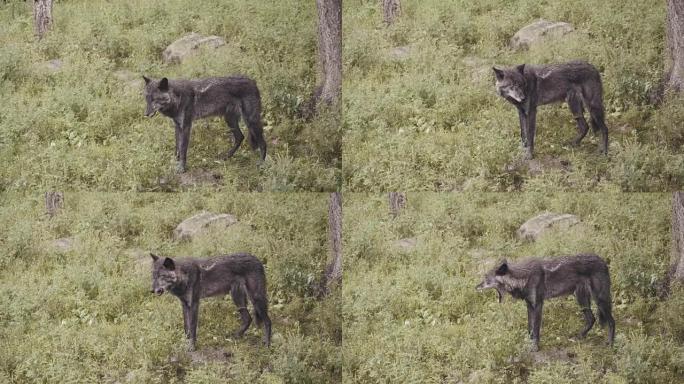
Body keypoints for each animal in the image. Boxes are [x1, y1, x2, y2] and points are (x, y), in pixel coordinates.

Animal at [476, 254, 616, 352]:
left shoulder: (538, 304)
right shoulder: (529, 305)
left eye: (486, 279)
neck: (523, 278)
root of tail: (603, 261)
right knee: (591, 319)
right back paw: (579, 337)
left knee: (611, 321)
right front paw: (529, 343)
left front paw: (535, 347)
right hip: (582, 299)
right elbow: (530, 327)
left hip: (600, 300)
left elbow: (536, 328)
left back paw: (610, 344)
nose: (476, 287)